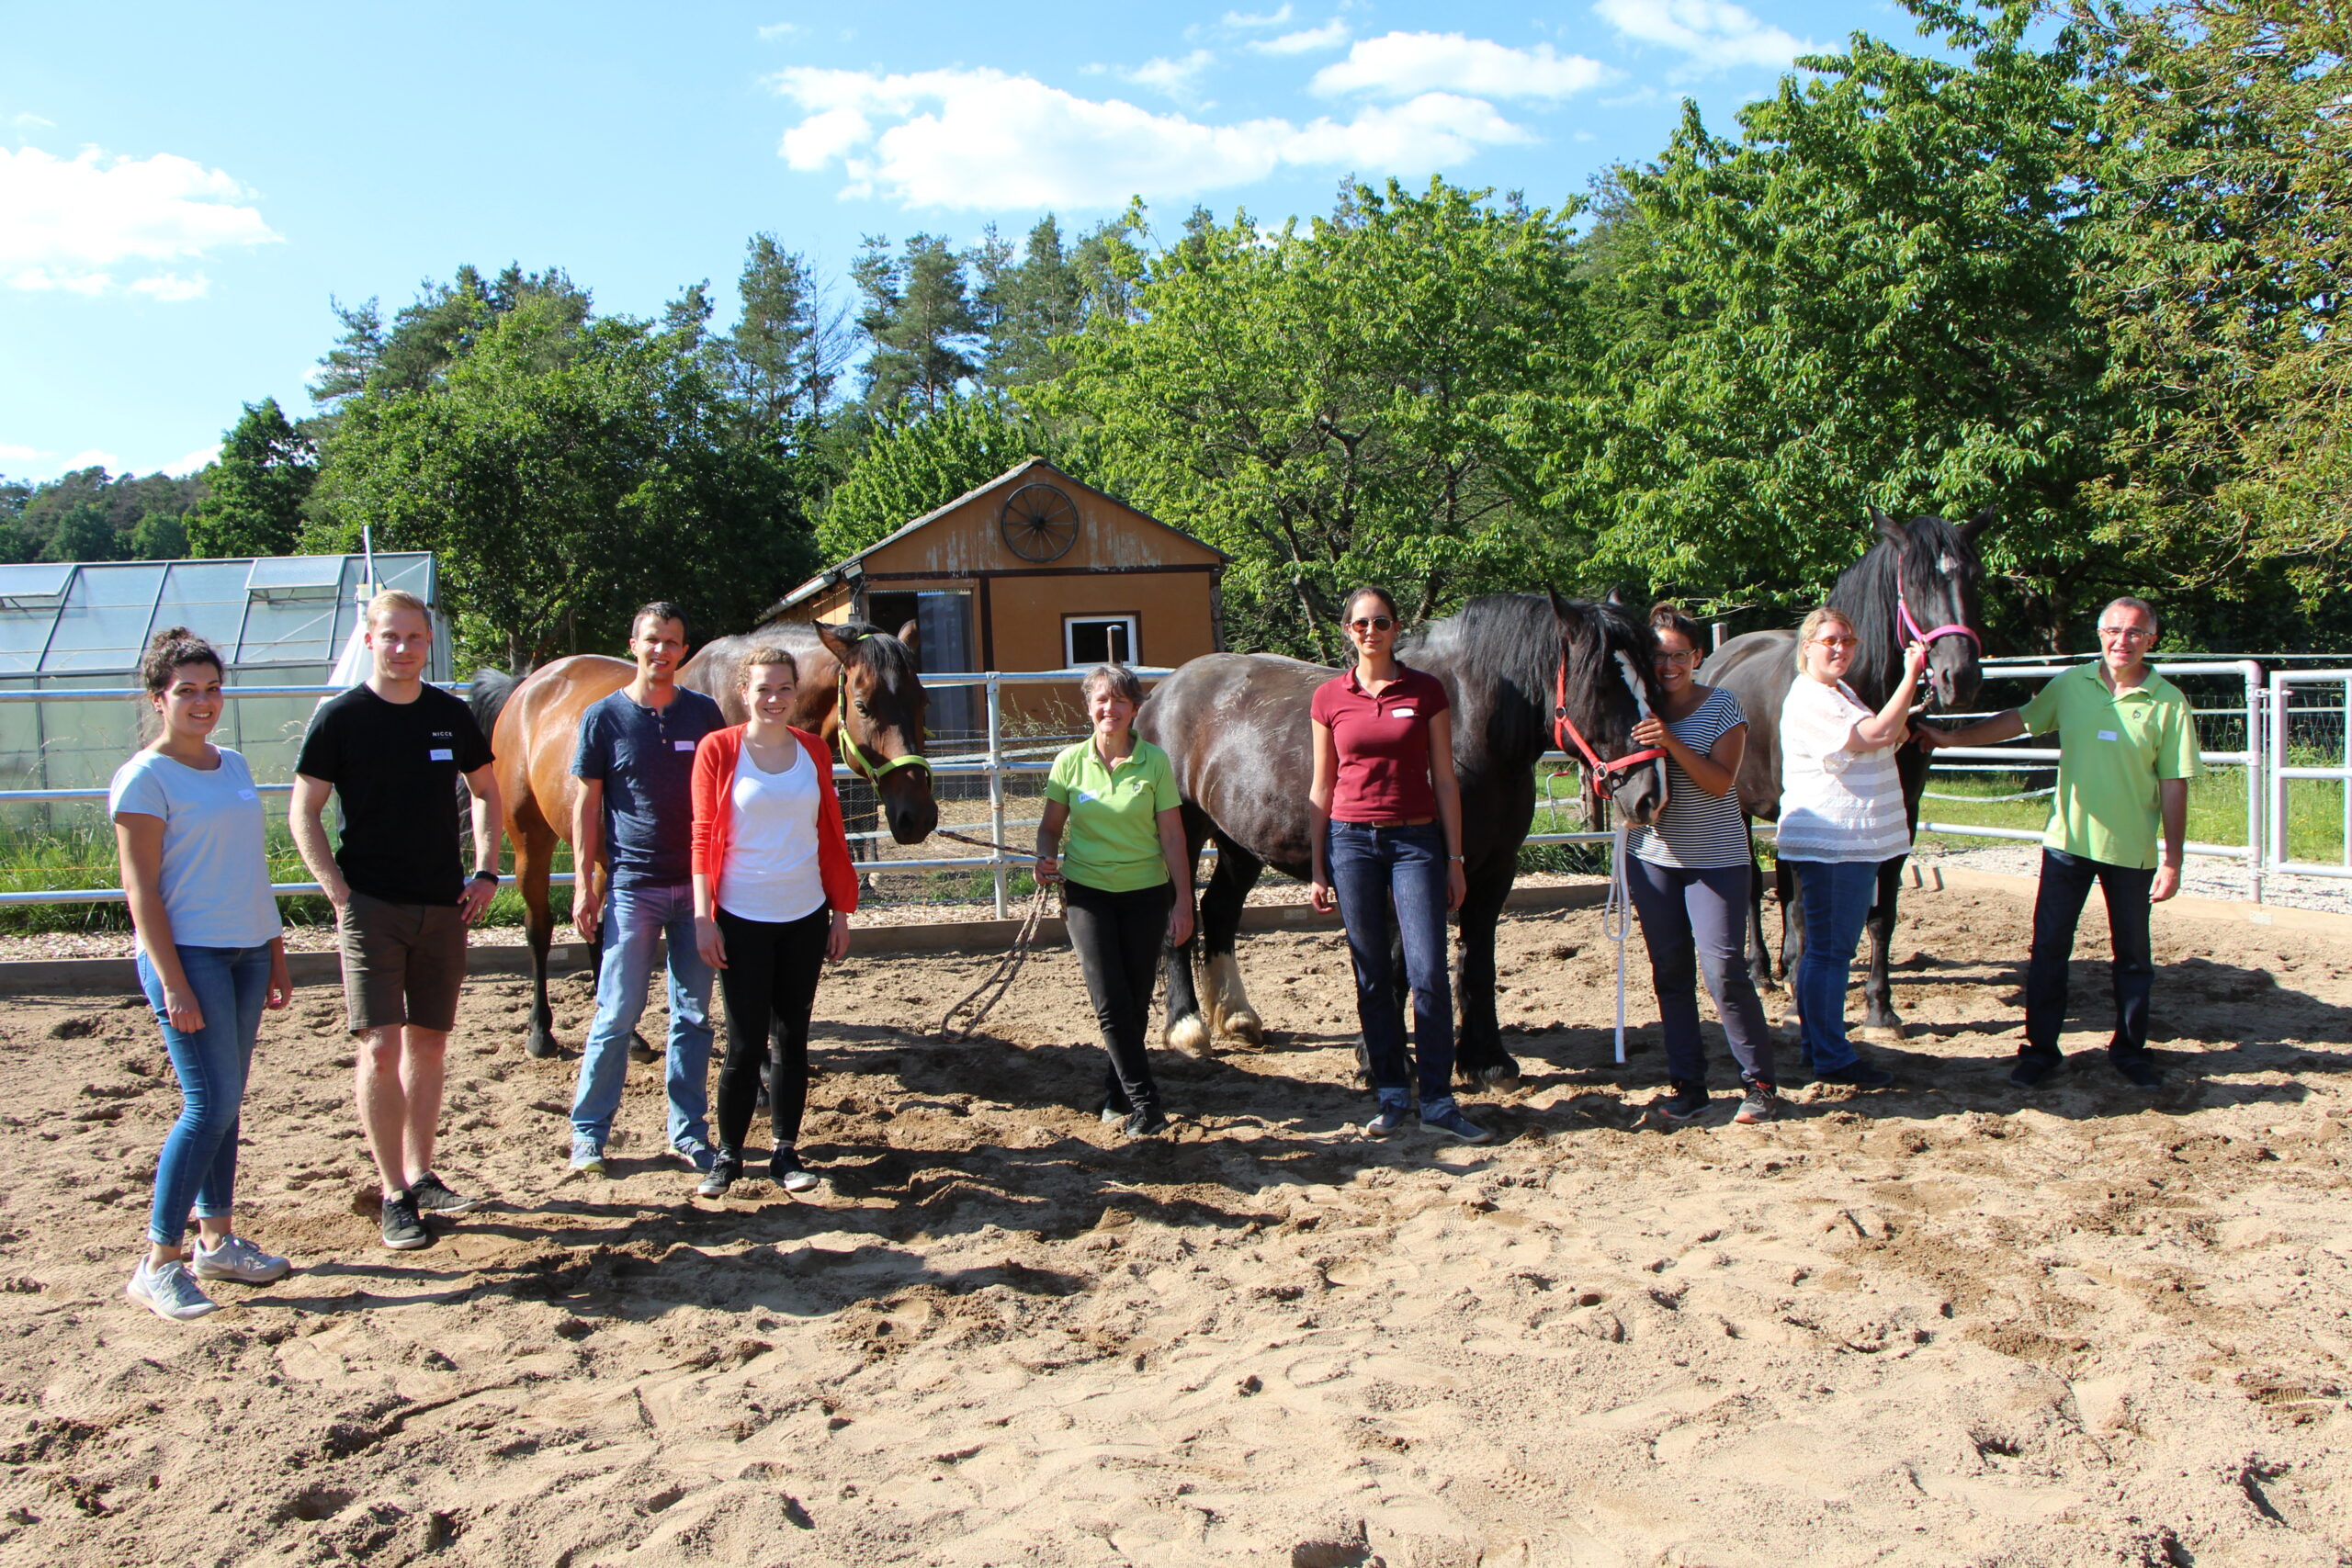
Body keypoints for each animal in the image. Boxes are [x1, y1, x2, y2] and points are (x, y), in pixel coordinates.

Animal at [470, 620, 935, 1062]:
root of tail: (527, 686)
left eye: (922, 702)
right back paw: (540, 1034)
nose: (918, 817)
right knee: (539, 928)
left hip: (602, 858)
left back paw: (631, 1038)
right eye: (862, 705)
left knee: (601, 932)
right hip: (530, 841)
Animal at [1138, 587, 1674, 1090]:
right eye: (1601, 683)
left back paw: (1237, 1018)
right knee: (1178, 919)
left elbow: (1477, 961)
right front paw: (1384, 1065)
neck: (1465, 729)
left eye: (1652, 679)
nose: (1650, 796)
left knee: (1219, 911)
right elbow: (1396, 964)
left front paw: (1487, 1062)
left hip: (1240, 844)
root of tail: (1163, 693)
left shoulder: (1494, 872)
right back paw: (1187, 1028)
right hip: (1185, 834)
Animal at [1702, 505, 1994, 1043]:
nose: (1959, 679)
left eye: (1974, 577)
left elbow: (1880, 913)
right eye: (1914, 582)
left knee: (1788, 884)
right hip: (1739, 808)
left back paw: (1788, 963)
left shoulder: (1904, 815)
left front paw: (1881, 1009)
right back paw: (1762, 970)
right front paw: (1801, 998)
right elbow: (1799, 904)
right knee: (1753, 885)